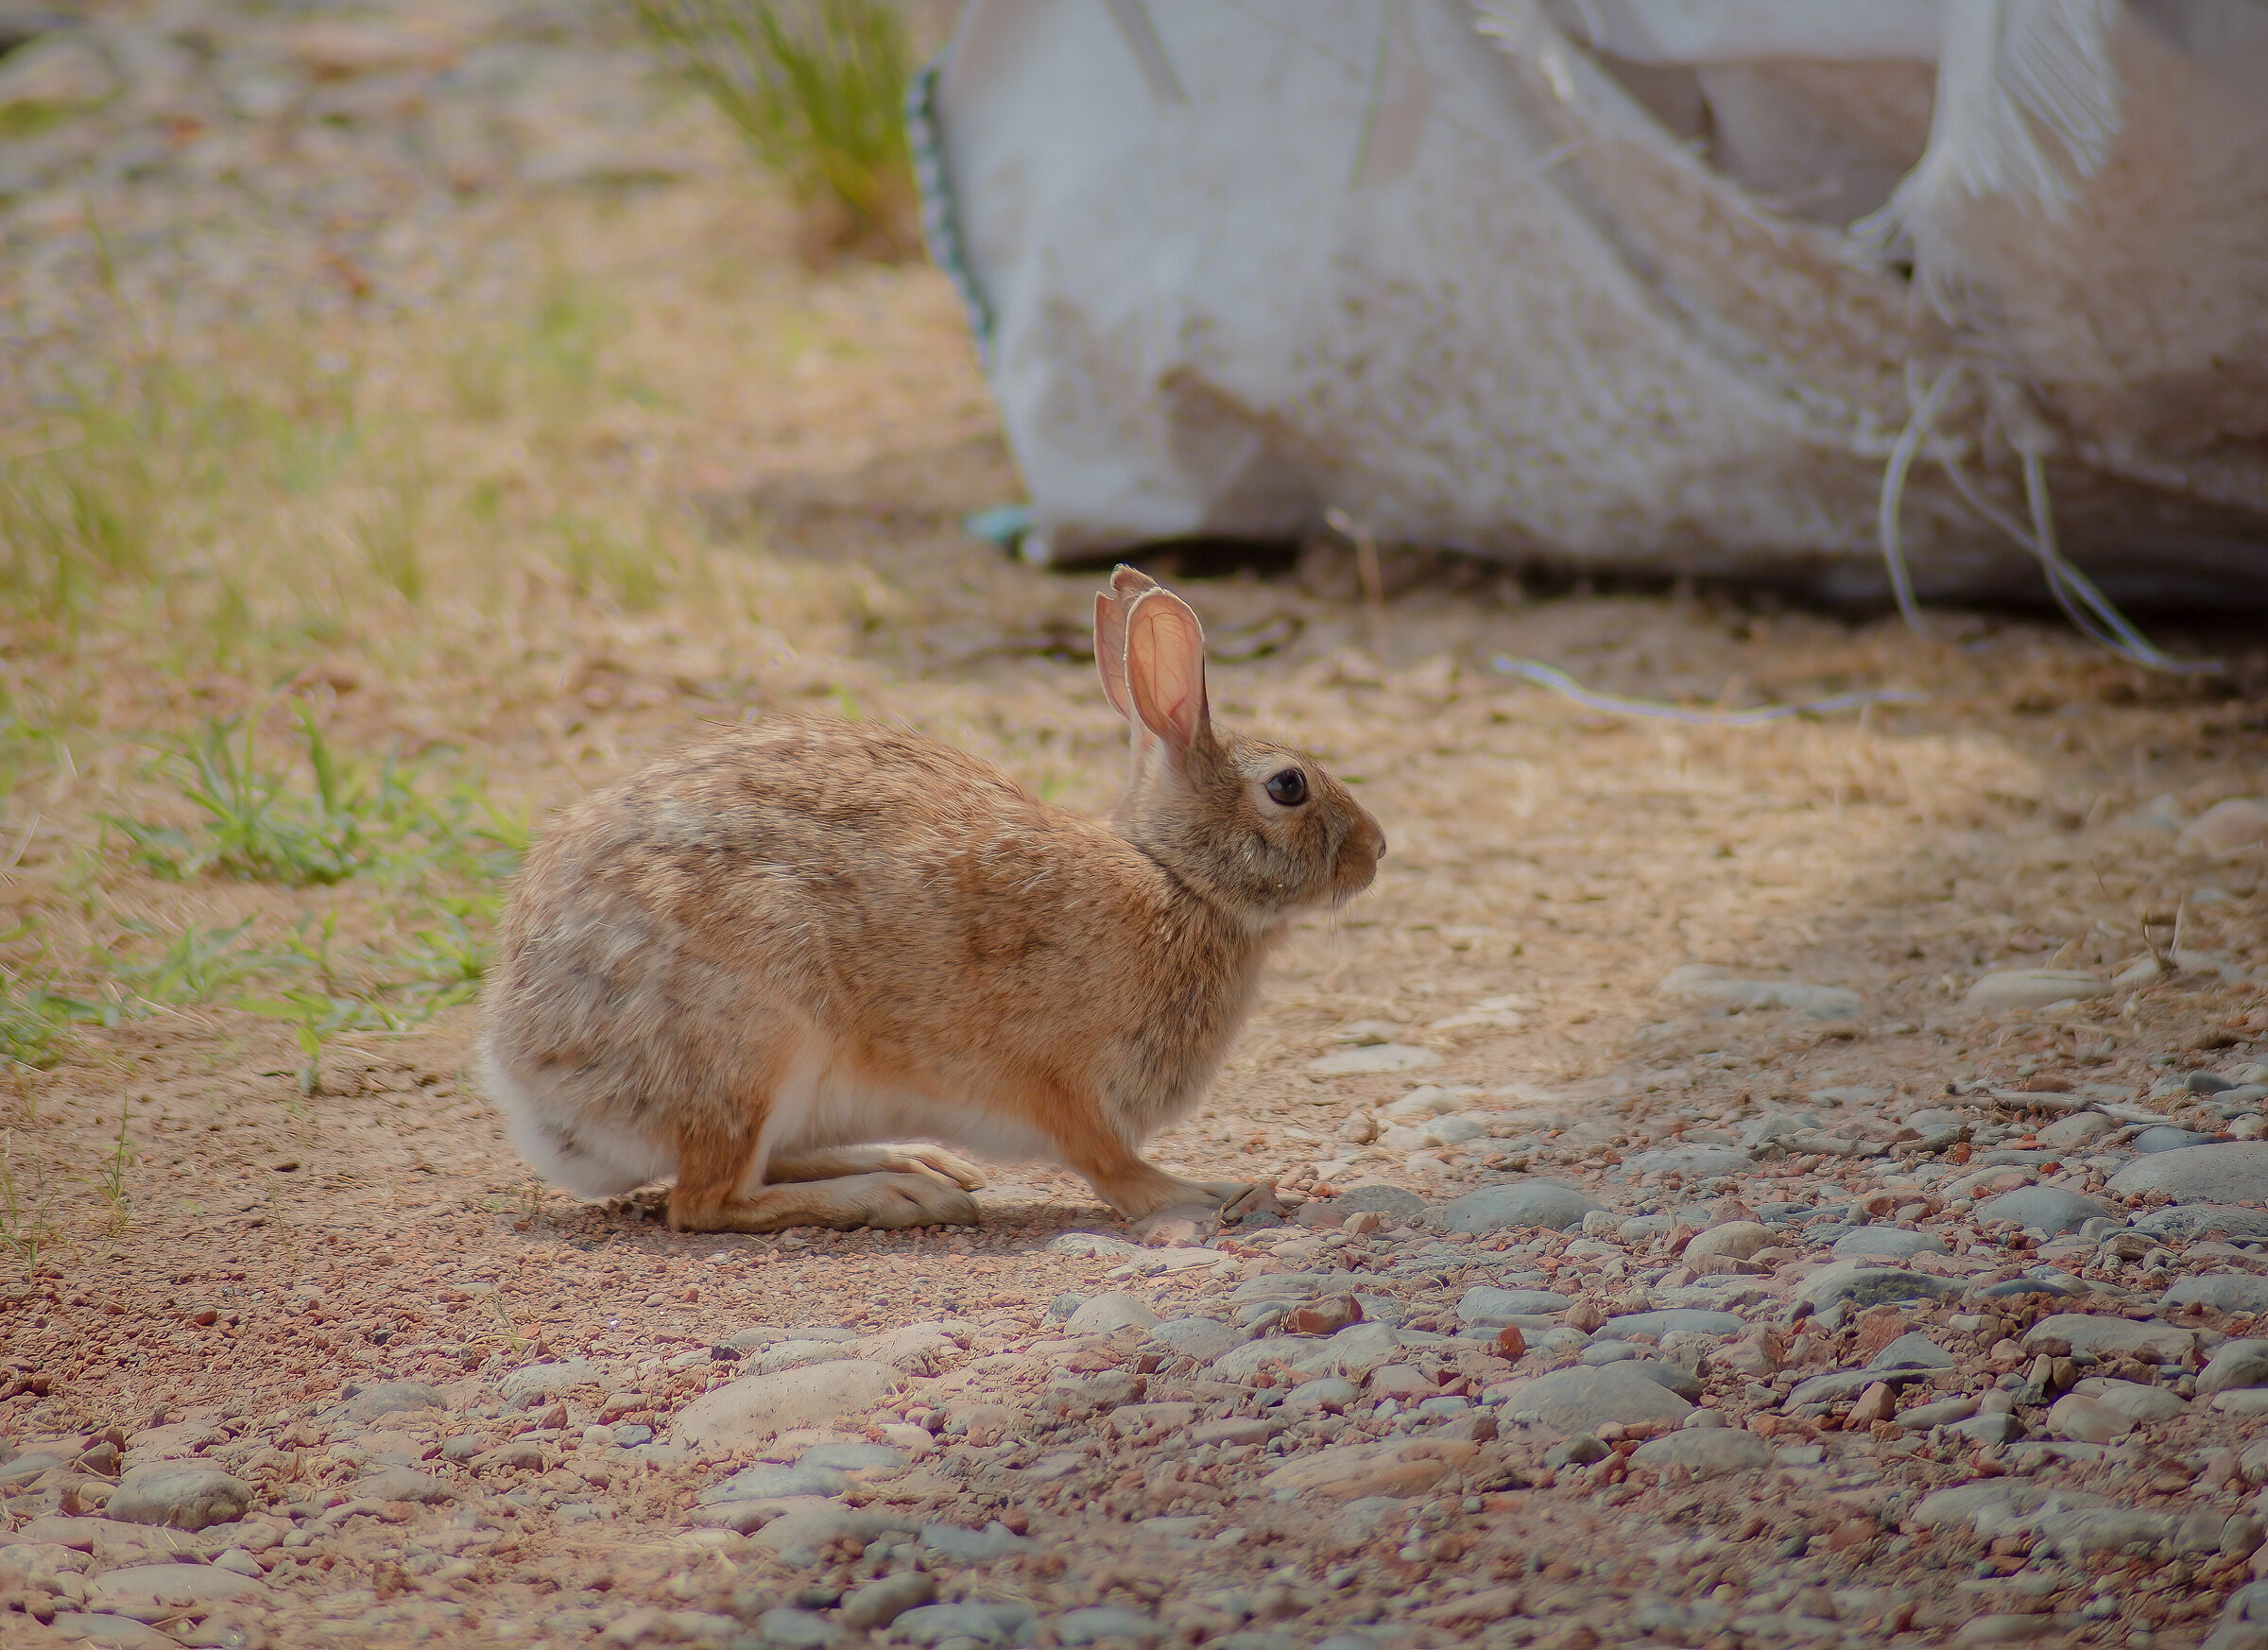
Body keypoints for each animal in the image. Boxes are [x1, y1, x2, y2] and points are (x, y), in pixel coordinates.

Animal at [477, 566, 1386, 1233]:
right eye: (1289, 786)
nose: (1377, 849)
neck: (1174, 876)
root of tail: (528, 1073)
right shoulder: (1060, 1079)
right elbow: (1109, 1164)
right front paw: (1195, 1193)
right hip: (752, 1042)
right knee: (706, 1201)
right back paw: (898, 1196)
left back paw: (916, 1164)